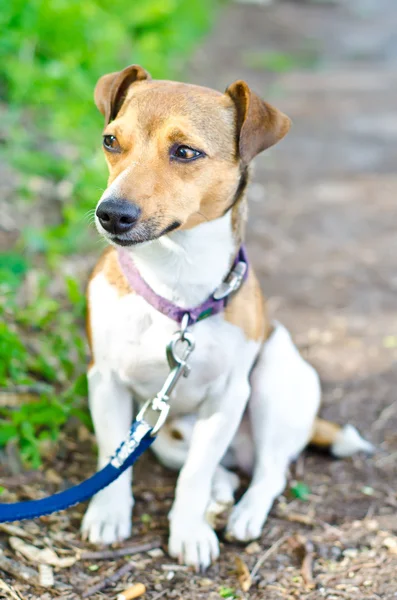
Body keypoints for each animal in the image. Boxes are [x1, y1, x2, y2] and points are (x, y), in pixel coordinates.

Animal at [80, 67, 372, 572]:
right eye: (110, 141)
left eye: (185, 151)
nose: (111, 213)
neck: (176, 286)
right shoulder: (107, 382)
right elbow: (113, 457)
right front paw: (109, 513)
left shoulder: (228, 396)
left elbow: (194, 477)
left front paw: (189, 532)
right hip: (166, 431)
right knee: (217, 469)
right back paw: (221, 492)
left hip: (275, 381)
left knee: (267, 472)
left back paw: (243, 514)